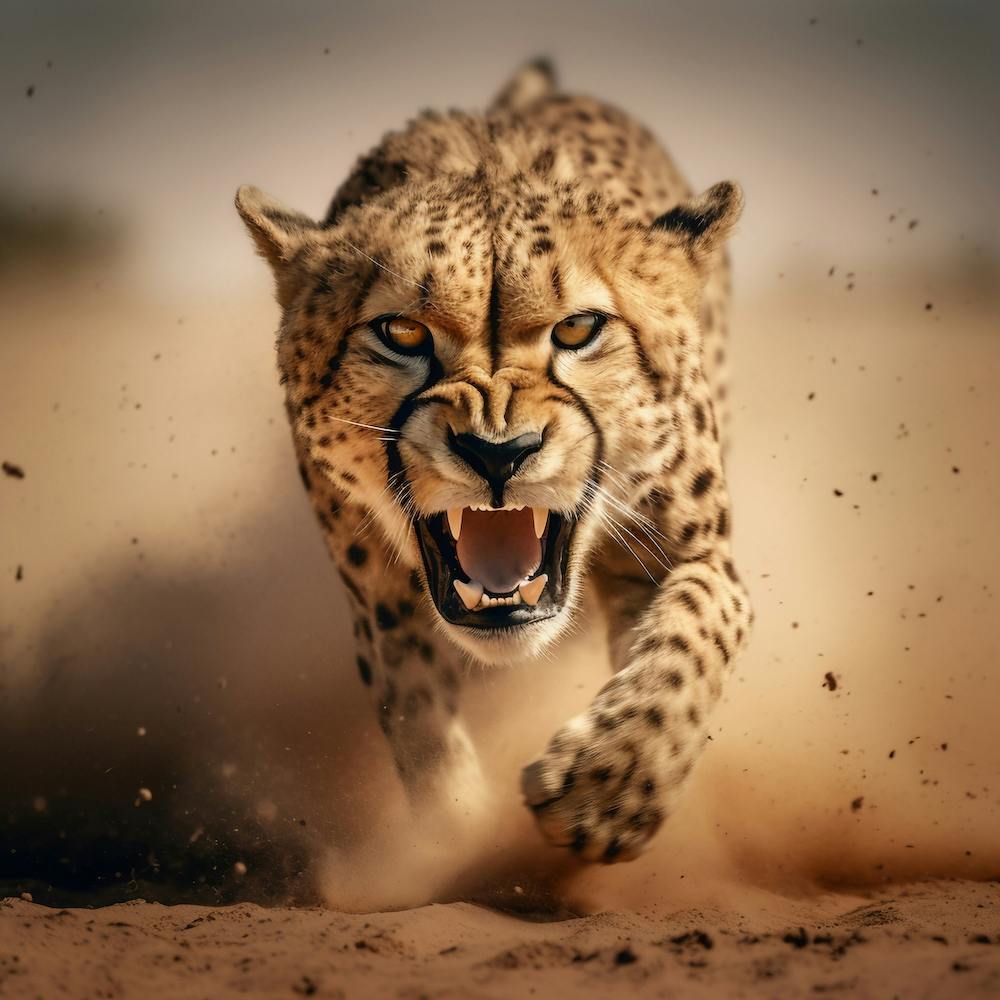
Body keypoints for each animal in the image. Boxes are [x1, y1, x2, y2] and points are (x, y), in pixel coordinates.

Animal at [235, 59, 752, 867]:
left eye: (578, 328)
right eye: (401, 332)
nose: (497, 451)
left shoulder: (696, 553)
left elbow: (694, 631)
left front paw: (607, 787)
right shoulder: (383, 605)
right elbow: (419, 724)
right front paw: (454, 847)